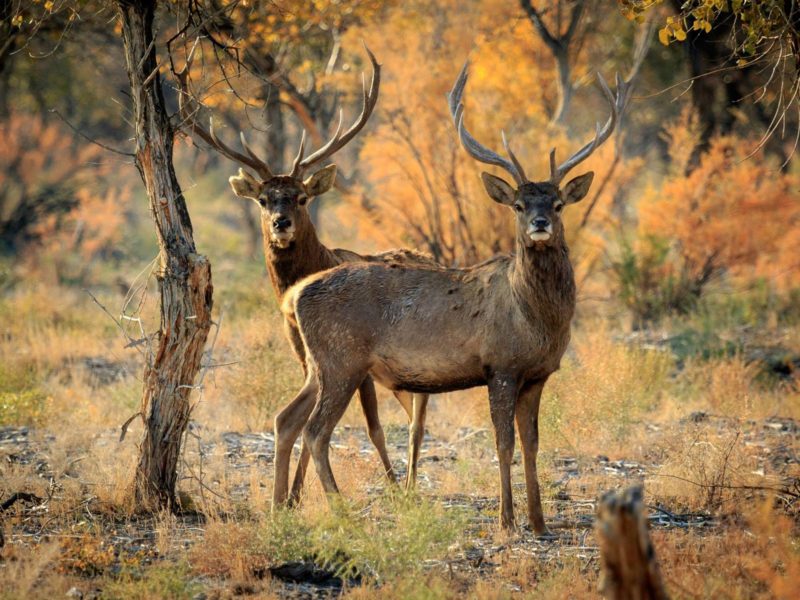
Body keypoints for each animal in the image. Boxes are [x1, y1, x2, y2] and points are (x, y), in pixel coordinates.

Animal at [173, 43, 434, 506]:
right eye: (262, 199)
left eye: (301, 197)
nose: (281, 223)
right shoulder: (305, 355)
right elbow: (312, 426)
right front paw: (292, 496)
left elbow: (373, 428)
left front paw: (388, 483)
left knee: (417, 419)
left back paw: (407, 482)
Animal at [282, 61, 632, 532]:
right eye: (518, 205)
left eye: (558, 204)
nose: (539, 223)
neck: (535, 320)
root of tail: (296, 294)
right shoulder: (500, 365)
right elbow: (504, 444)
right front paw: (507, 520)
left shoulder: (538, 374)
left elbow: (533, 444)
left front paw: (539, 522)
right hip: (341, 360)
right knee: (316, 431)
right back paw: (341, 512)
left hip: (319, 365)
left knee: (290, 418)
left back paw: (284, 506)